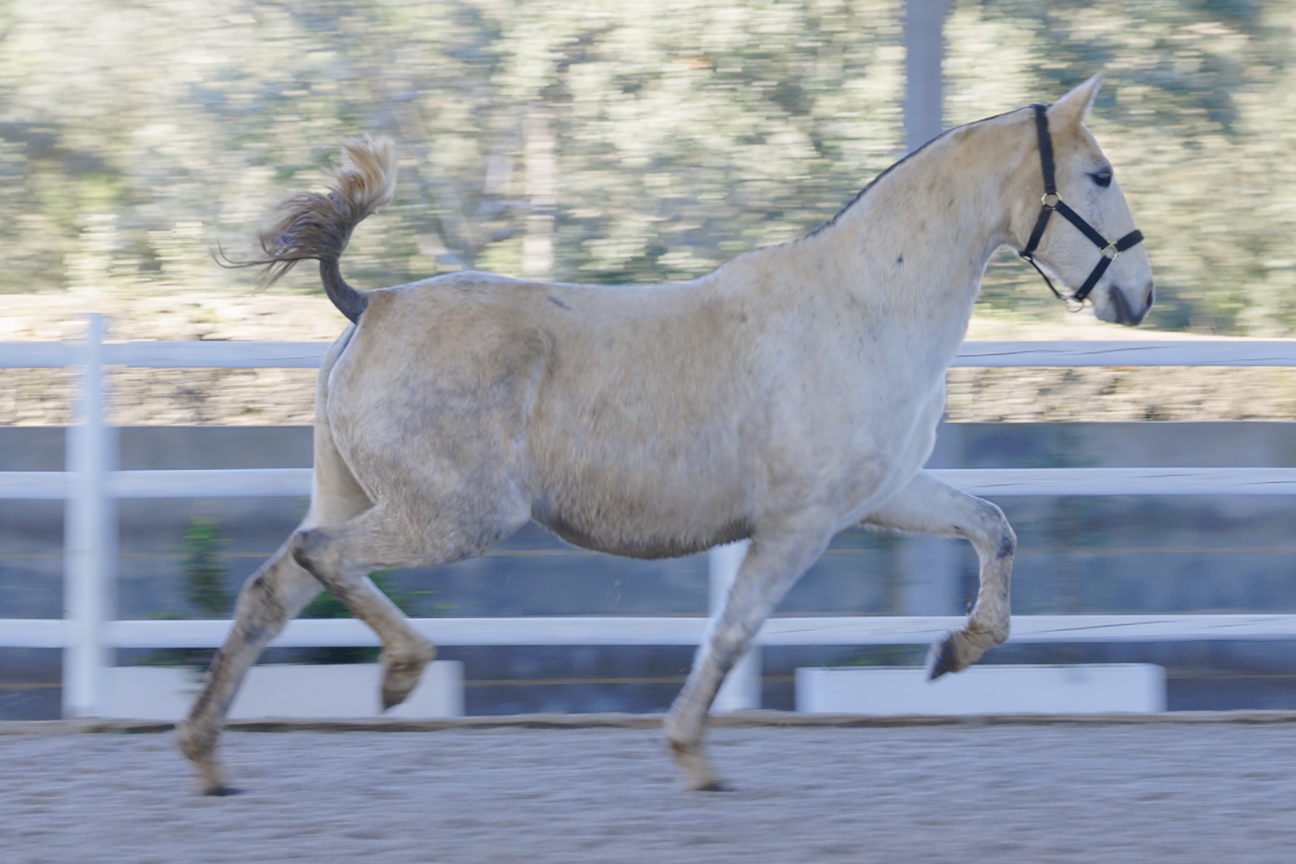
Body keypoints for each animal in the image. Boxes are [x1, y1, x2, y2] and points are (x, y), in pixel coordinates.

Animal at [174, 76, 1156, 797]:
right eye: (1103, 176)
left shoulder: (884, 496)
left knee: (273, 588)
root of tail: (367, 304)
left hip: (366, 496)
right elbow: (735, 628)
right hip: (454, 516)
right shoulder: (800, 522)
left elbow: (994, 526)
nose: (1138, 297)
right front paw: (691, 753)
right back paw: (401, 675)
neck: (867, 305)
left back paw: (208, 758)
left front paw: (956, 651)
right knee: (320, 557)